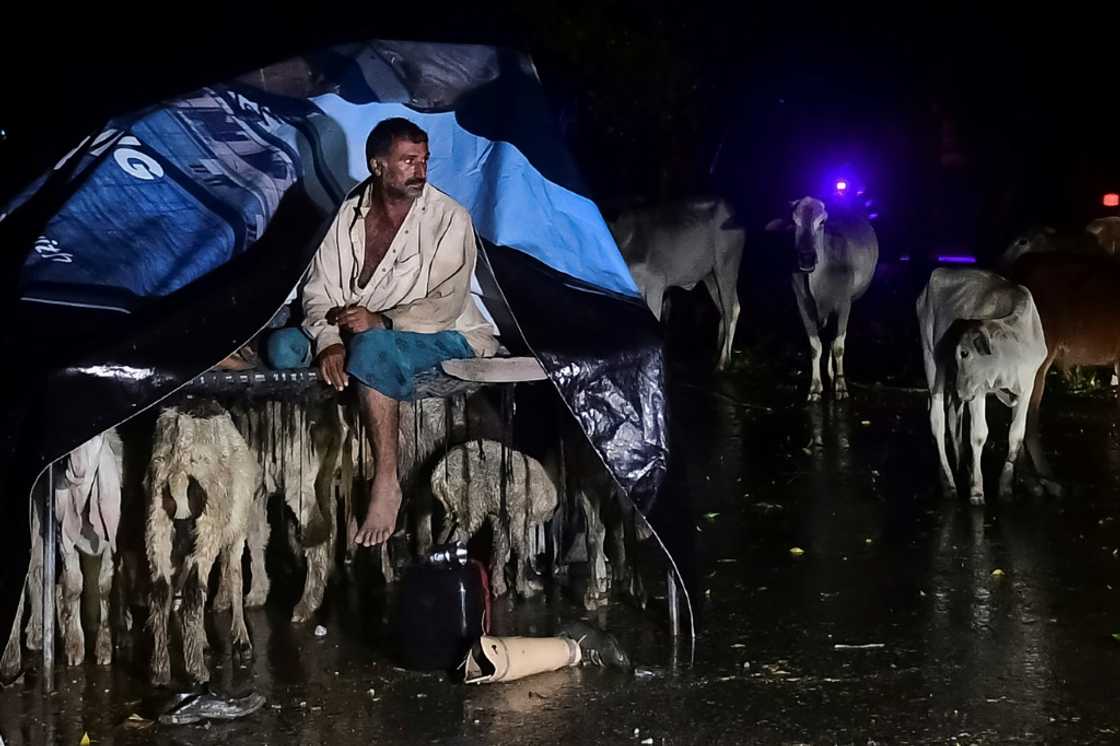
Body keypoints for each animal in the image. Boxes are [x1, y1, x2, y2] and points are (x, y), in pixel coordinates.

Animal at [613, 196, 743, 367]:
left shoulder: (656, 283)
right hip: (710, 275)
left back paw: (723, 361)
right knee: (724, 308)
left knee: (731, 309)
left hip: (726, 264)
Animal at [766, 194, 878, 398]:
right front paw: (815, 387)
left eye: (822, 222)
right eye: (794, 222)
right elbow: (815, 346)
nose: (806, 258)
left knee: (834, 339)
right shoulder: (803, 303)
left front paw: (841, 387)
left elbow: (839, 345)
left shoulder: (844, 304)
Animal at [913, 267, 1043, 506]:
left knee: (953, 418)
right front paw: (977, 489)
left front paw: (1005, 487)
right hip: (932, 360)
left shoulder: (1027, 388)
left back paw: (959, 468)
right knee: (937, 419)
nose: (961, 391)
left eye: (964, 353)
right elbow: (979, 434)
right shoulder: (978, 390)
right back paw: (948, 482)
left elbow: (1016, 435)